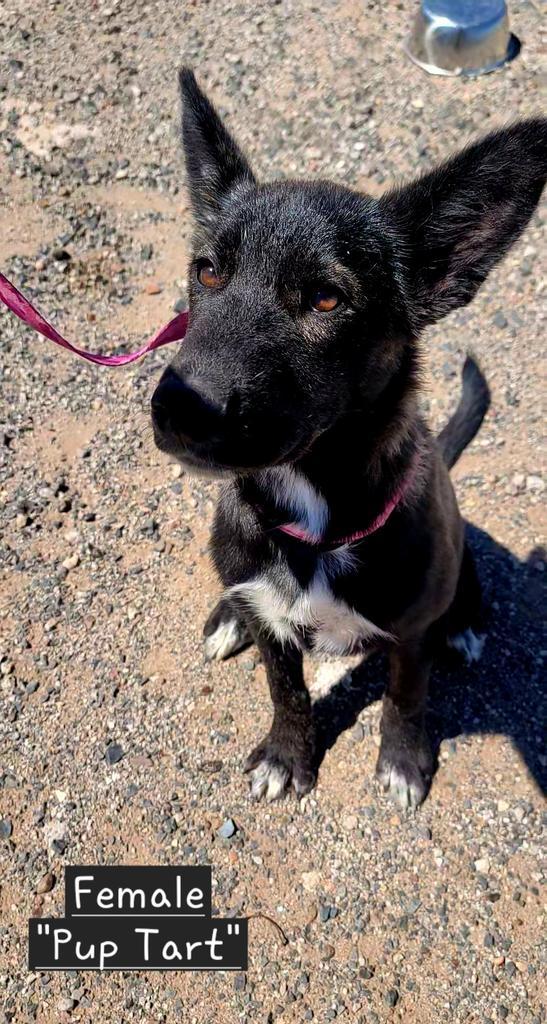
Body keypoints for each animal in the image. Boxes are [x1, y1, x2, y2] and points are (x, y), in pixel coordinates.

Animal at [151, 70, 547, 806]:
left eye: (327, 299)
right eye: (208, 270)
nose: (177, 410)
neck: (312, 516)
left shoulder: (409, 637)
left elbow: (405, 698)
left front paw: (403, 761)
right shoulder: (276, 632)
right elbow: (286, 692)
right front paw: (288, 756)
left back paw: (465, 623)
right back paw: (228, 612)